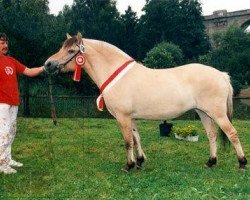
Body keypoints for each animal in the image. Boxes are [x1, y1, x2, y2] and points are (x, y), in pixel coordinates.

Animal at [44, 32, 247, 172]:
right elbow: (136, 138)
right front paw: (140, 161)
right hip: (203, 113)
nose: (48, 64)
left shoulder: (122, 117)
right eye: (62, 47)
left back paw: (242, 163)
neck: (117, 76)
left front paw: (129, 165)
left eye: (71, 50)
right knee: (212, 135)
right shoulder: (130, 117)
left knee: (232, 134)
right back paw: (210, 162)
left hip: (217, 114)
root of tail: (221, 75)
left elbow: (127, 141)